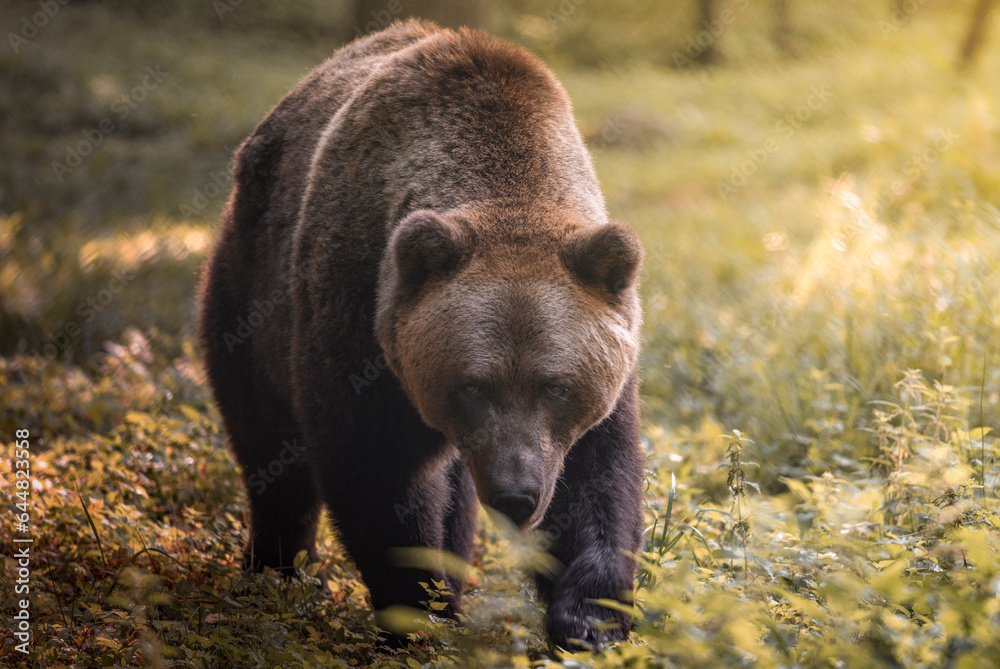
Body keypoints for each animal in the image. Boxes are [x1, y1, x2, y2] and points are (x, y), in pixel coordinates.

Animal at [198, 19, 645, 649]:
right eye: (473, 385)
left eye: (555, 386)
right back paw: (279, 573)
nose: (515, 494)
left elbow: (595, 480)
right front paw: (418, 615)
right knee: (270, 449)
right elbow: (376, 469)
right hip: (248, 296)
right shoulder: (357, 313)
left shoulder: (604, 371)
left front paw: (589, 621)